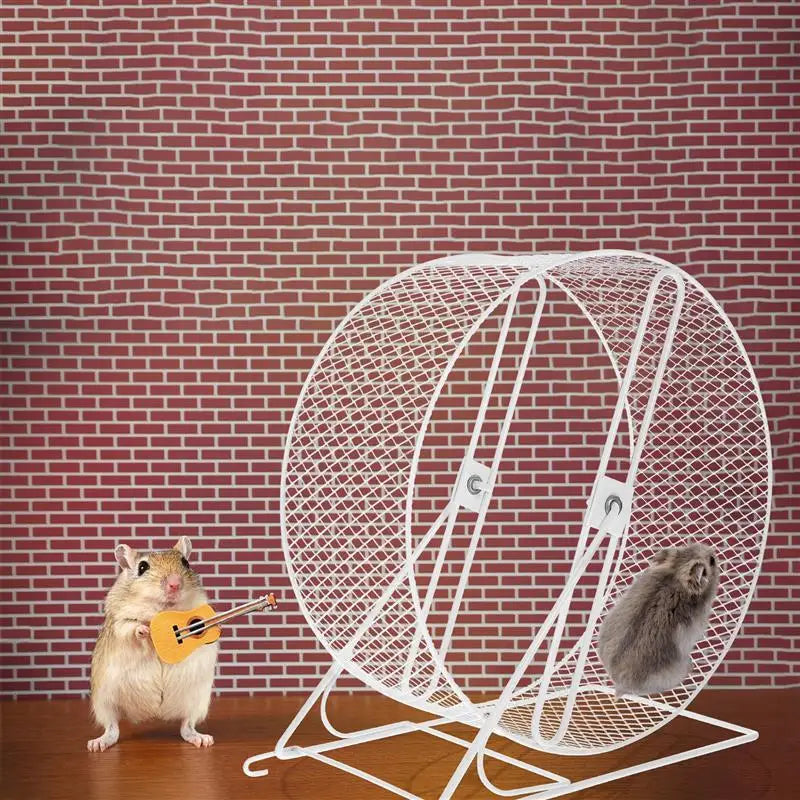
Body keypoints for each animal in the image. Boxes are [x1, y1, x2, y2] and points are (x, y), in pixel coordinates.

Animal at [87, 536, 218, 752]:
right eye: (142, 567)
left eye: (185, 563)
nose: (175, 584)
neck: (162, 610)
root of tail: (153, 714)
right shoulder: (120, 622)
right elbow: (131, 628)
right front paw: (145, 630)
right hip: (103, 701)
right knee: (112, 728)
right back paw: (97, 744)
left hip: (197, 700)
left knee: (186, 726)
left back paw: (202, 740)